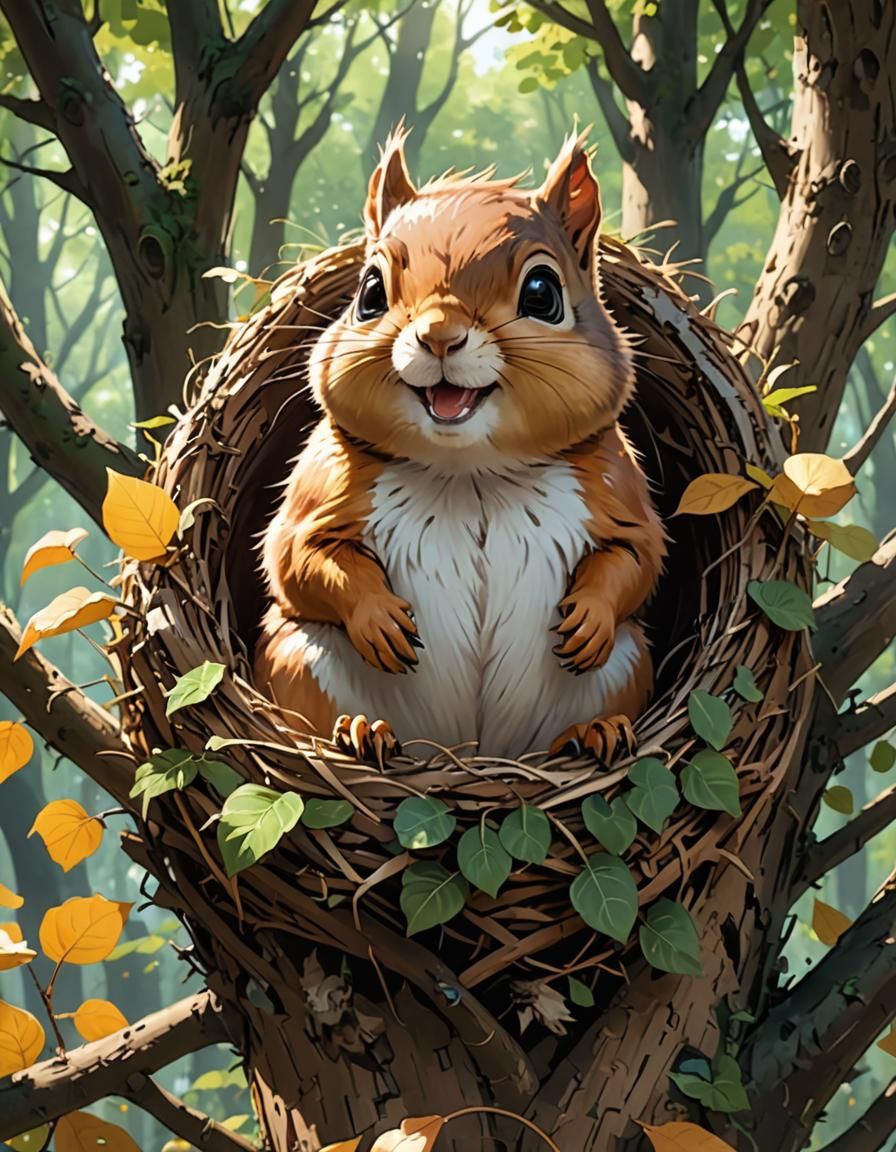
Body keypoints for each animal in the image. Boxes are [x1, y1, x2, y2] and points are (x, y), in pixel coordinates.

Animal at [254, 128, 665, 765]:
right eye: (370, 292)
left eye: (542, 293)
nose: (439, 336)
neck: (470, 470)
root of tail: (468, 751)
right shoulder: (325, 482)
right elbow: (299, 555)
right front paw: (378, 618)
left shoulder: (611, 480)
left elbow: (635, 555)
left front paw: (590, 618)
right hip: (297, 658)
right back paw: (359, 731)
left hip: (625, 666)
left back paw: (593, 733)